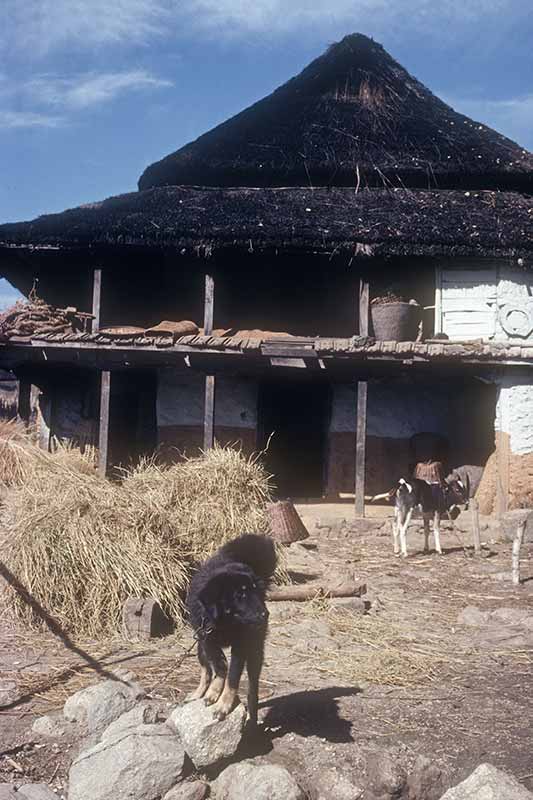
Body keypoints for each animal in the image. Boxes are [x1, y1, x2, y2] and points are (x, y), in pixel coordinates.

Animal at [185, 532, 276, 724]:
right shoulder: (207, 639)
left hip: (255, 652)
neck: (225, 622)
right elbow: (220, 667)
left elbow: (232, 678)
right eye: (240, 595)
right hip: (199, 644)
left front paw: (223, 705)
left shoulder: (241, 647)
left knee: (253, 690)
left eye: (255, 592)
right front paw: (213, 693)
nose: (265, 614)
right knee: (206, 670)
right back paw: (198, 692)